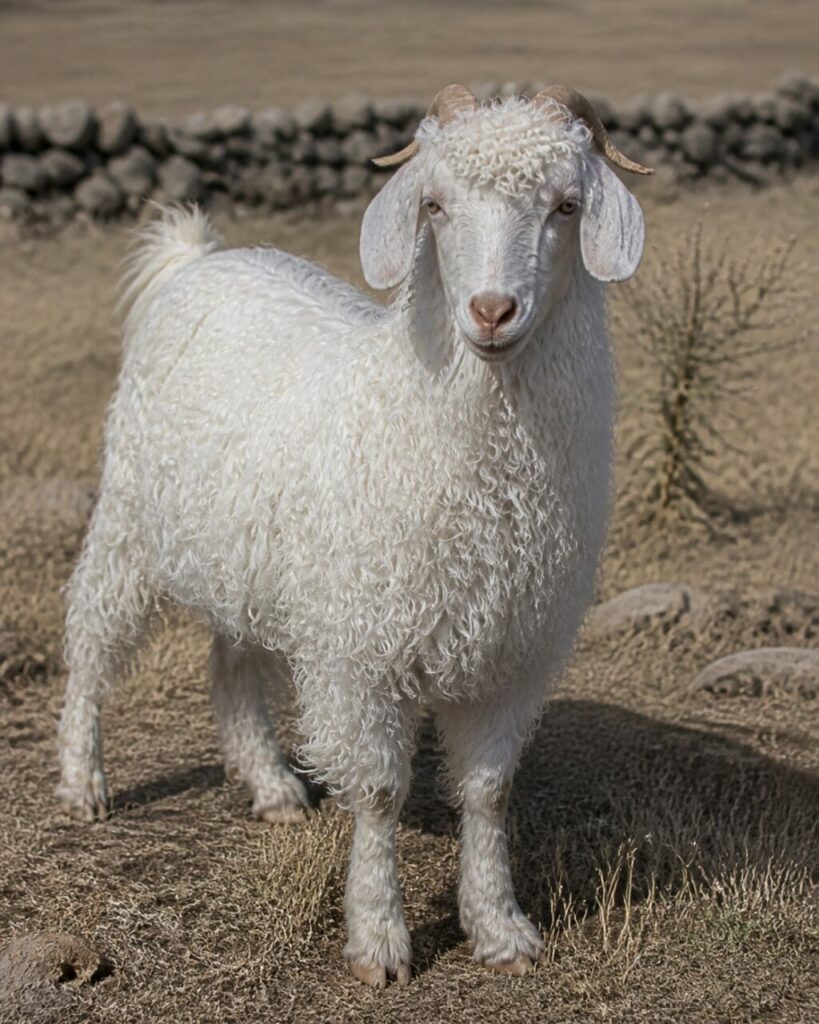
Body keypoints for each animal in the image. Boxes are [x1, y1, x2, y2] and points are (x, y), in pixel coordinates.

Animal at [58, 84, 650, 987]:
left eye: (565, 206)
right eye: (434, 206)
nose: (490, 312)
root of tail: (197, 260)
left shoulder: (509, 654)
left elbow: (488, 792)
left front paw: (499, 928)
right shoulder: (360, 651)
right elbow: (377, 794)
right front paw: (378, 941)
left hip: (257, 564)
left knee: (230, 664)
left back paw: (270, 786)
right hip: (129, 520)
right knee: (92, 640)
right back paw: (83, 782)